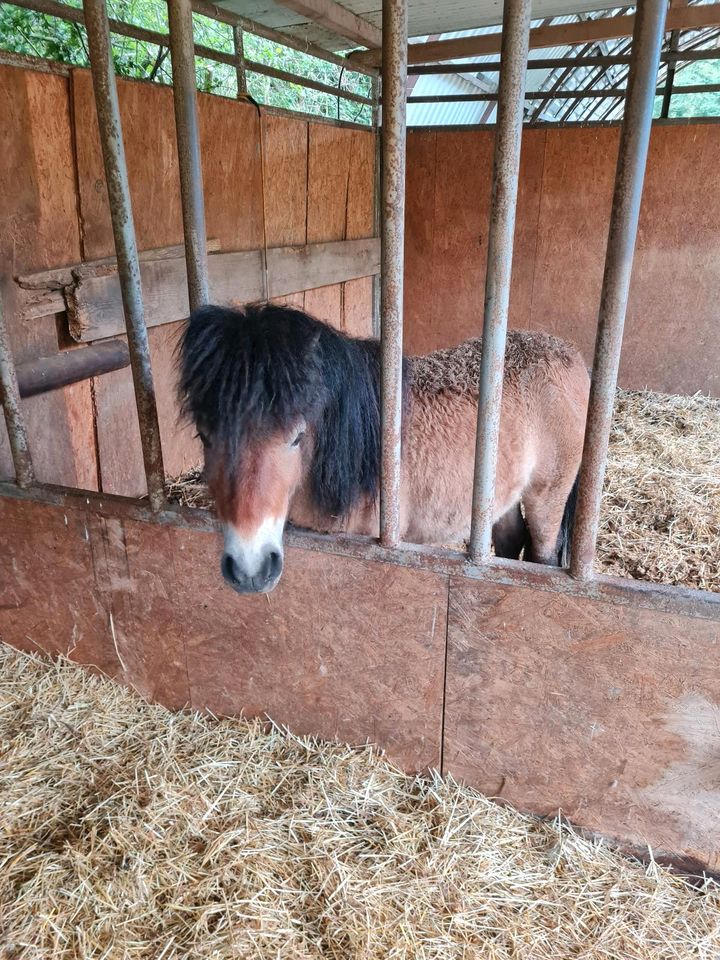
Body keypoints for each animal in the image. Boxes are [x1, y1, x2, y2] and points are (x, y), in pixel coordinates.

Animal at [177, 302, 588, 592]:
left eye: (297, 436)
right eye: (204, 436)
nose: (250, 570)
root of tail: (571, 354)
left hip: (547, 497)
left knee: (542, 554)